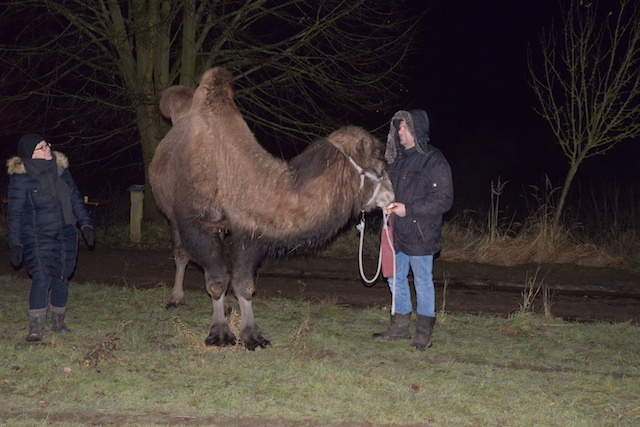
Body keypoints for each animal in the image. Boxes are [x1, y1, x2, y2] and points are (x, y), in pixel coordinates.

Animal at [150, 67, 392, 352]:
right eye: (381, 165)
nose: (391, 195)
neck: (233, 174)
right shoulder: (198, 224)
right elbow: (217, 280)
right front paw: (220, 334)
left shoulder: (249, 229)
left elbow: (243, 284)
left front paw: (253, 337)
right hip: (172, 214)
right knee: (181, 253)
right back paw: (176, 298)